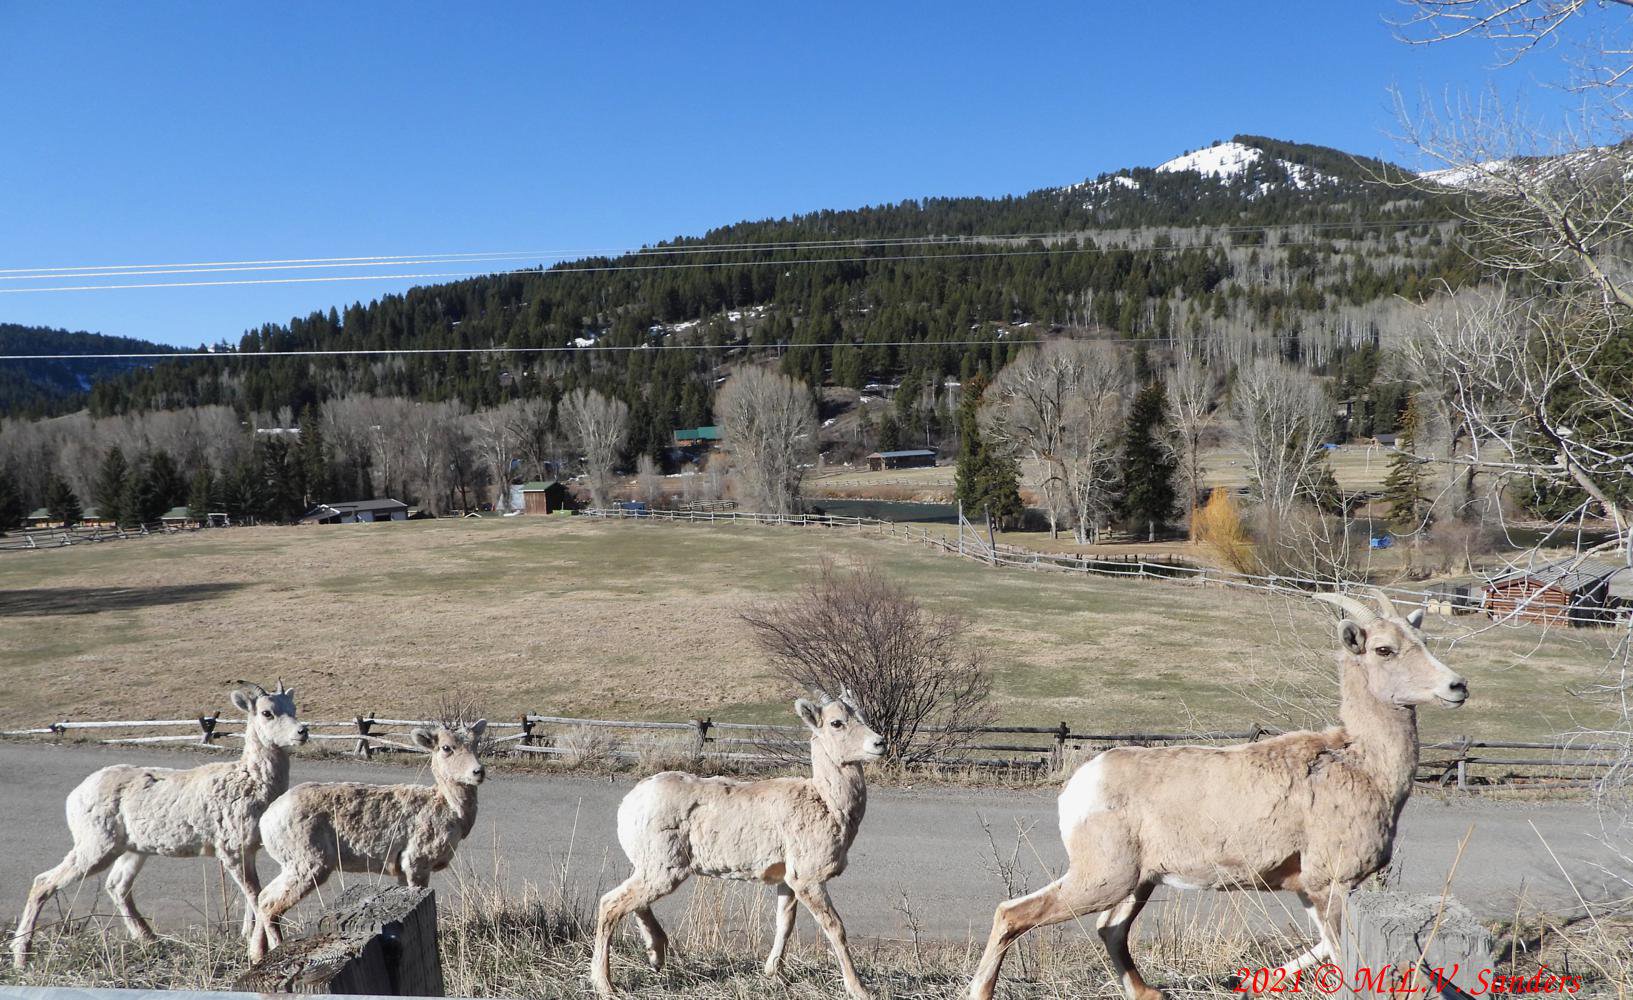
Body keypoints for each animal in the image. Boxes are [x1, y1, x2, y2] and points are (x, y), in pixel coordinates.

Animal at [11, 682, 308, 968]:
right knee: (43, 882)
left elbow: (253, 898)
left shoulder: (248, 851)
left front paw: (248, 939)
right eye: (267, 713)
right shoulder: (231, 851)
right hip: (96, 847)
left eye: (293, 708)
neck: (250, 781)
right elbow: (256, 895)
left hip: (132, 850)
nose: (302, 731)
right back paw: (21, 957)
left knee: (117, 886)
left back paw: (151, 940)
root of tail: (75, 796)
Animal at [250, 719, 487, 962]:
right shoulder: (417, 861)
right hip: (309, 862)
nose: (478, 771)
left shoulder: (401, 868)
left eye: (476, 742)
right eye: (446, 747)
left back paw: (256, 955)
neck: (450, 809)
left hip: (294, 864)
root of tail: (265, 822)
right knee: (269, 902)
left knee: (262, 896)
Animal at [592, 692, 885, 1000]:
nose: (879, 743)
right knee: (610, 904)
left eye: (862, 716)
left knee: (633, 901)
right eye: (836, 722)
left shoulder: (787, 881)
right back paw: (606, 985)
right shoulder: (807, 879)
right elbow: (835, 928)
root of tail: (628, 804)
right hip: (664, 870)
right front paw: (859, 989)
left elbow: (785, 923)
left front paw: (775, 973)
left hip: (652, 868)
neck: (827, 801)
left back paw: (656, 956)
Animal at [967, 590, 1470, 1000]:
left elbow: (1326, 949)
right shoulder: (1331, 884)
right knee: (1013, 913)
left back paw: (1151, 994)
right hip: (1102, 879)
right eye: (1384, 649)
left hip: (1138, 883)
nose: (1457, 686)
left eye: (1422, 639)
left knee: (1110, 930)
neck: (1363, 764)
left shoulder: (1307, 889)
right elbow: (1342, 955)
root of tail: (1082, 783)